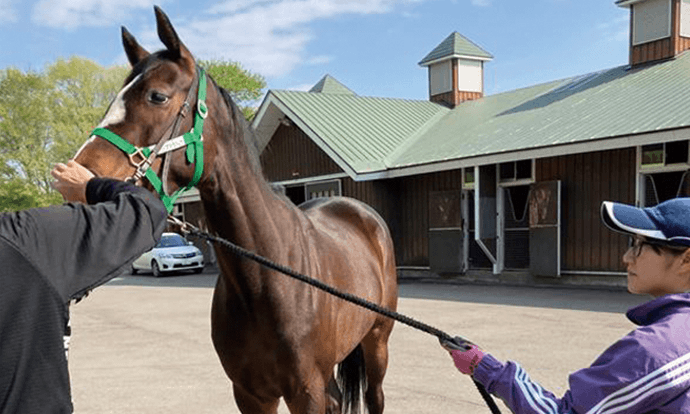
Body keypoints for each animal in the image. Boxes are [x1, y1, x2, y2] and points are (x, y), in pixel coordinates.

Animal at [74, 6, 398, 414]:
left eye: (157, 96)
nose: (79, 175)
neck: (265, 278)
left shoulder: (305, 392)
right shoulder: (249, 393)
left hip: (377, 343)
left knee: (375, 396)